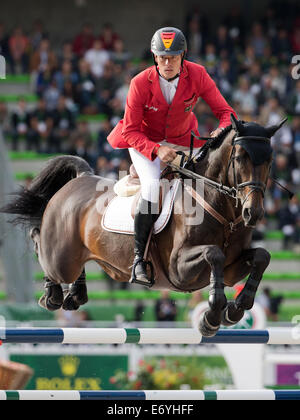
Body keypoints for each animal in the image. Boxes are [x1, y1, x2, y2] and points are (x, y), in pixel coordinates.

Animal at [0, 113, 286, 336]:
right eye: (239, 158)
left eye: (270, 160)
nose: (253, 213)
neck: (220, 209)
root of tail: (79, 178)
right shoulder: (179, 269)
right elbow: (214, 253)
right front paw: (211, 317)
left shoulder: (230, 269)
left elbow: (262, 256)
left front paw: (234, 310)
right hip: (61, 258)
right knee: (40, 242)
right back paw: (53, 294)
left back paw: (76, 295)